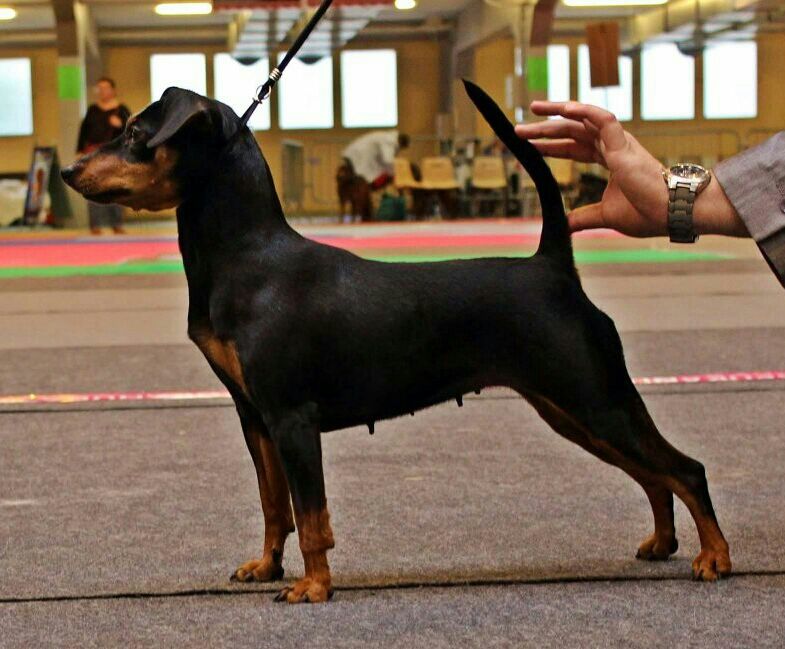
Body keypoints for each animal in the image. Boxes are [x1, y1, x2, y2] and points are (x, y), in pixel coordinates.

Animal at [64, 79, 732, 604]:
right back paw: (663, 544)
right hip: (572, 411)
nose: (69, 170)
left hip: (594, 396)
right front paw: (266, 567)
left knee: (686, 469)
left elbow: (311, 514)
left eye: (134, 132)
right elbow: (274, 505)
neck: (247, 258)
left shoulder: (292, 419)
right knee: (653, 475)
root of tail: (553, 267)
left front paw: (313, 586)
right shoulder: (255, 418)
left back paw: (715, 559)